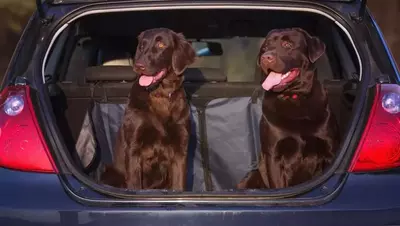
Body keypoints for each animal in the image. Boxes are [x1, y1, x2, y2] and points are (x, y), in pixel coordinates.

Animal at [101, 28, 196, 191]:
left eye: (161, 45)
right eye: (141, 46)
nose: (139, 65)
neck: (160, 94)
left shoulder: (180, 151)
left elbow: (178, 186)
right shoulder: (133, 150)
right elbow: (134, 186)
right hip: (110, 172)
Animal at [238, 28, 340, 190]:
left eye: (287, 44)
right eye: (265, 47)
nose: (266, 57)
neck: (294, 97)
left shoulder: (329, 152)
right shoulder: (273, 156)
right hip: (250, 178)